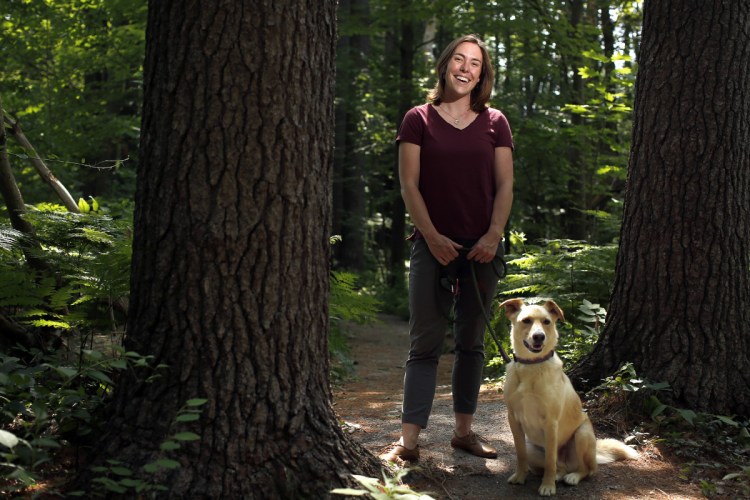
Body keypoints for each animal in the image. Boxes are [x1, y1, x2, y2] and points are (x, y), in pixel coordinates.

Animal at [500, 298, 640, 494]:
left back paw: (572, 477)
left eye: (546, 322)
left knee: (587, 470)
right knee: (557, 466)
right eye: (526, 321)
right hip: (532, 448)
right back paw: (557, 474)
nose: (539, 336)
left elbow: (550, 461)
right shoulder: (513, 419)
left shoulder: (551, 422)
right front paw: (520, 477)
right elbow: (521, 455)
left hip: (582, 435)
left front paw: (547, 486)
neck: (532, 365)